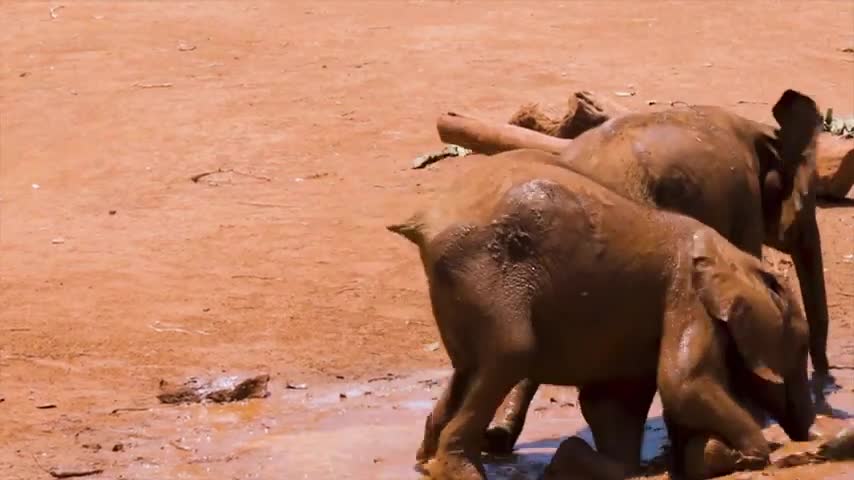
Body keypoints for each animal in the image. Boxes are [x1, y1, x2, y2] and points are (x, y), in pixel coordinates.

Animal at [388, 150, 816, 480]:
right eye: (800, 348)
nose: (808, 439)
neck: (737, 260)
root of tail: (426, 220)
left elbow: (613, 402)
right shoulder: (688, 297)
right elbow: (683, 383)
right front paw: (758, 452)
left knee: (467, 369)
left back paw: (428, 463)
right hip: (486, 272)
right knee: (511, 354)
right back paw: (460, 472)